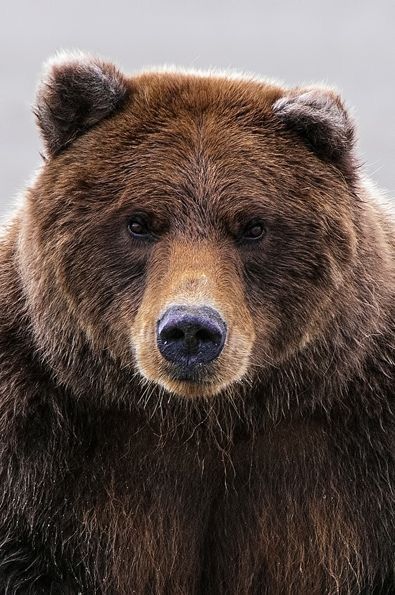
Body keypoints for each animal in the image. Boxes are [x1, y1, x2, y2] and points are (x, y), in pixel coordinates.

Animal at [0, 52, 394, 595]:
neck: (205, 420)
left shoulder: (360, 456)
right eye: (139, 221)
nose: (190, 329)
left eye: (252, 226)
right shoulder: (35, 446)